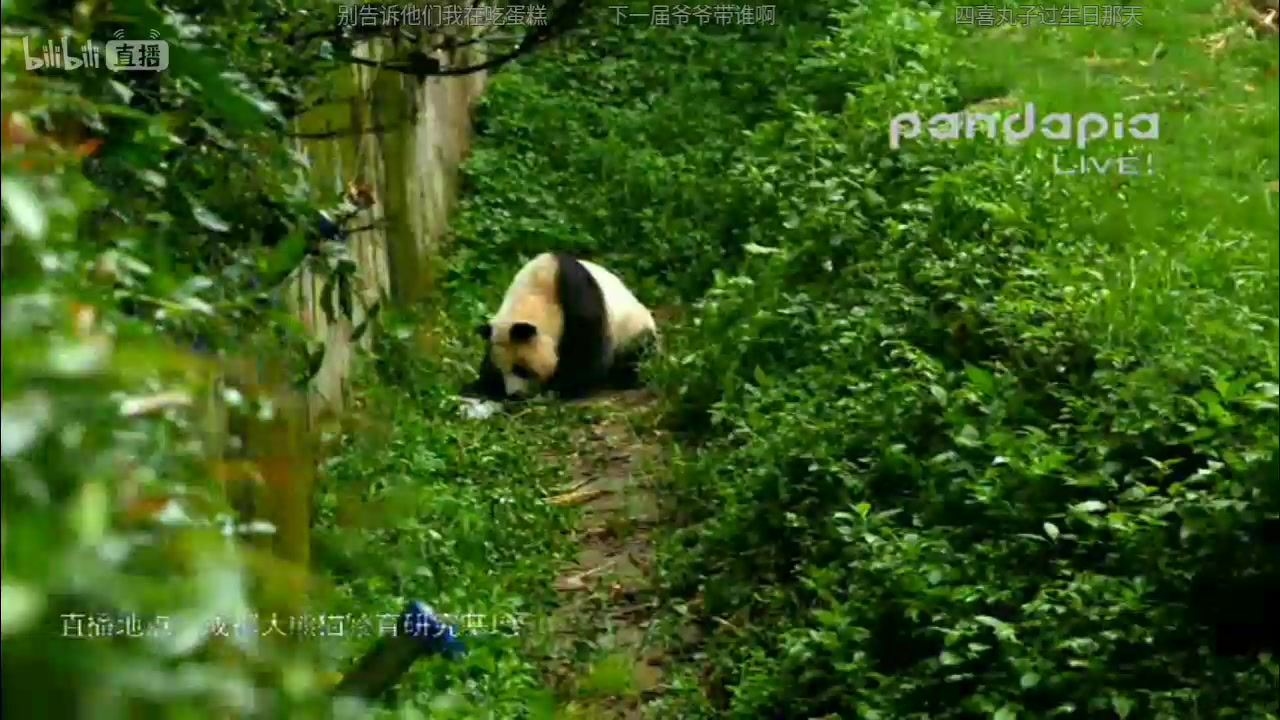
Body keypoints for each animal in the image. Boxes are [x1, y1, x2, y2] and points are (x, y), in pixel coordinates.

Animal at [463, 251, 660, 397]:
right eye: (501, 370)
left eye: (521, 369)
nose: (514, 394)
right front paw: (482, 386)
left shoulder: (579, 299)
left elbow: (587, 350)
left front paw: (559, 386)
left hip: (633, 328)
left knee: (638, 352)